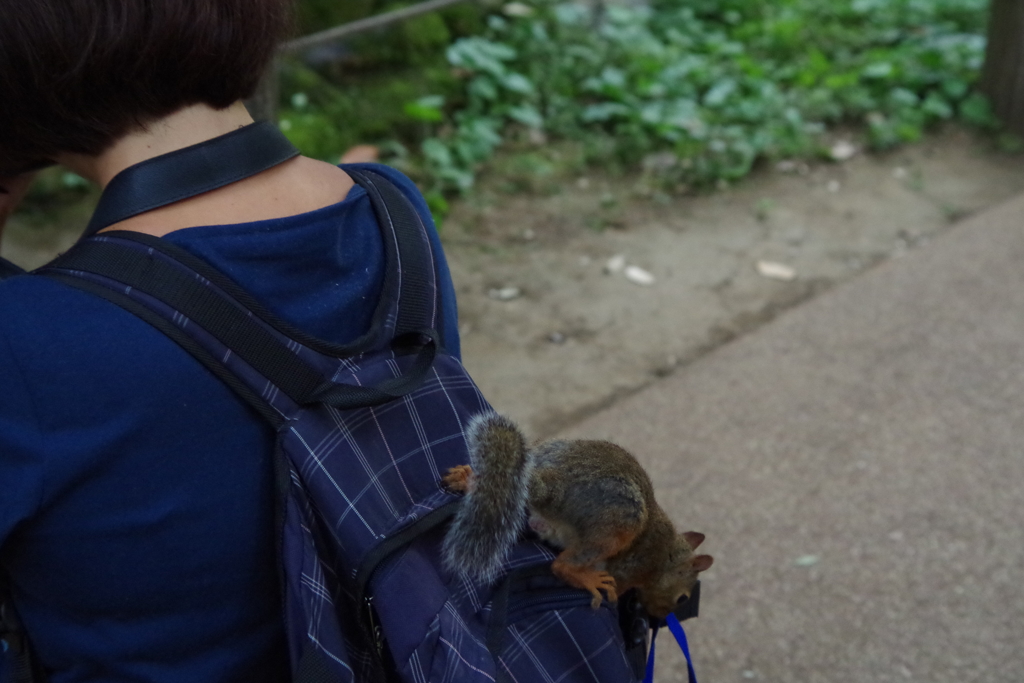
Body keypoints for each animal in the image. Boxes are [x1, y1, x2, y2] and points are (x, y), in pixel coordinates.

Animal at [440, 411, 712, 618]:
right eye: (682, 598)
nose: (657, 615)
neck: (667, 556)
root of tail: (554, 486)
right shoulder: (632, 569)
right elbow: (618, 587)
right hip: (617, 524)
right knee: (562, 566)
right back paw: (588, 580)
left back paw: (466, 478)